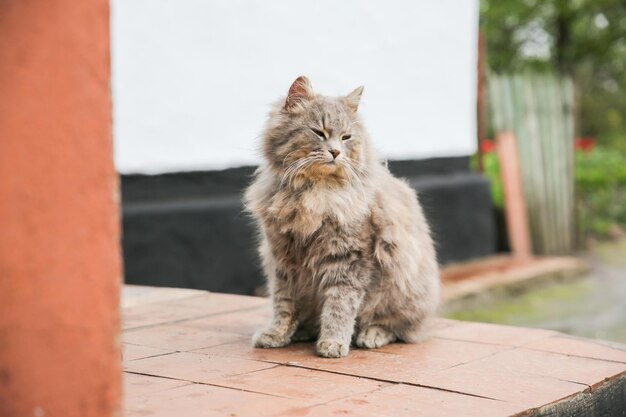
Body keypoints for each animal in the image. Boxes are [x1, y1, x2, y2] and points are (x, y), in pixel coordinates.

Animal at [244, 76, 438, 356]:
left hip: (402, 289)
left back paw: (371, 335)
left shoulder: (348, 258)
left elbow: (339, 306)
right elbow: (283, 304)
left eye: (346, 137)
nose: (335, 152)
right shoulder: (283, 258)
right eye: (319, 132)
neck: (312, 193)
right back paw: (303, 331)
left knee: (398, 327)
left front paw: (333, 343)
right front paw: (276, 334)